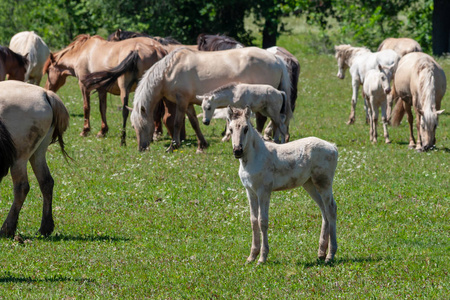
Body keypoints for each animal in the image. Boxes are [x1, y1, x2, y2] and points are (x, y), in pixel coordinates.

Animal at [0, 81, 69, 238]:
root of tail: (45, 94)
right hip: (38, 153)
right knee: (46, 182)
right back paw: (45, 228)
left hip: (19, 157)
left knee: (22, 187)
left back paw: (7, 228)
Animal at [130, 47, 292, 154]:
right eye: (133, 127)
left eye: (143, 126)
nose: (141, 148)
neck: (169, 71)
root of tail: (276, 59)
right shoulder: (188, 103)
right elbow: (194, 123)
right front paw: (202, 145)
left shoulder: (181, 101)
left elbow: (177, 123)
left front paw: (173, 146)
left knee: (265, 120)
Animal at [227, 106, 340, 264]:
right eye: (230, 129)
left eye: (246, 128)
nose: (237, 151)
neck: (255, 157)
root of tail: (333, 147)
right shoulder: (250, 191)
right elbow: (253, 221)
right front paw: (251, 256)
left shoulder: (263, 191)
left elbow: (262, 221)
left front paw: (262, 258)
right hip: (309, 184)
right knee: (324, 211)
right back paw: (321, 253)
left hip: (324, 183)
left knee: (331, 209)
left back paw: (330, 255)